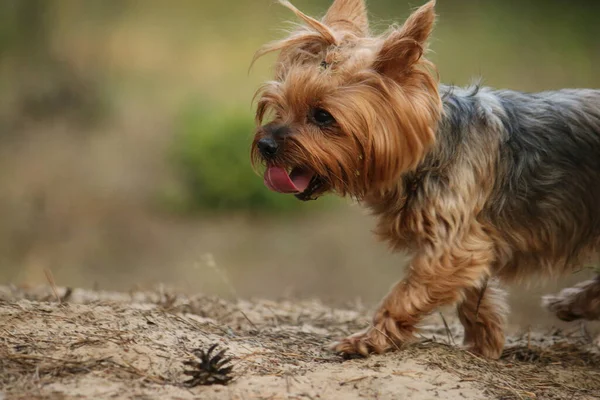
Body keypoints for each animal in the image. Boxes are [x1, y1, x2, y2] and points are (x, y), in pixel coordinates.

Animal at [248, 0, 600, 358]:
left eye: (322, 116)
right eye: (278, 106)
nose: (266, 145)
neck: (428, 151)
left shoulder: (452, 246)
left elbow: (406, 295)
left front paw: (367, 340)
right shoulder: (470, 244)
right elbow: (473, 295)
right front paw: (484, 342)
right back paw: (573, 303)